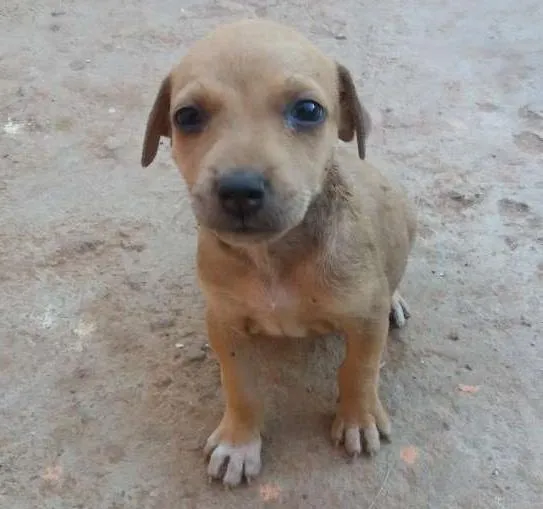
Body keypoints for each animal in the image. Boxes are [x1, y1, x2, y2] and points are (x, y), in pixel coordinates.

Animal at [141, 19, 416, 486]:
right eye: (187, 117)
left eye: (308, 110)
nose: (239, 190)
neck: (273, 257)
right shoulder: (224, 324)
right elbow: (240, 386)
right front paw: (239, 441)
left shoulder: (365, 318)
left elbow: (358, 371)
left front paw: (358, 419)